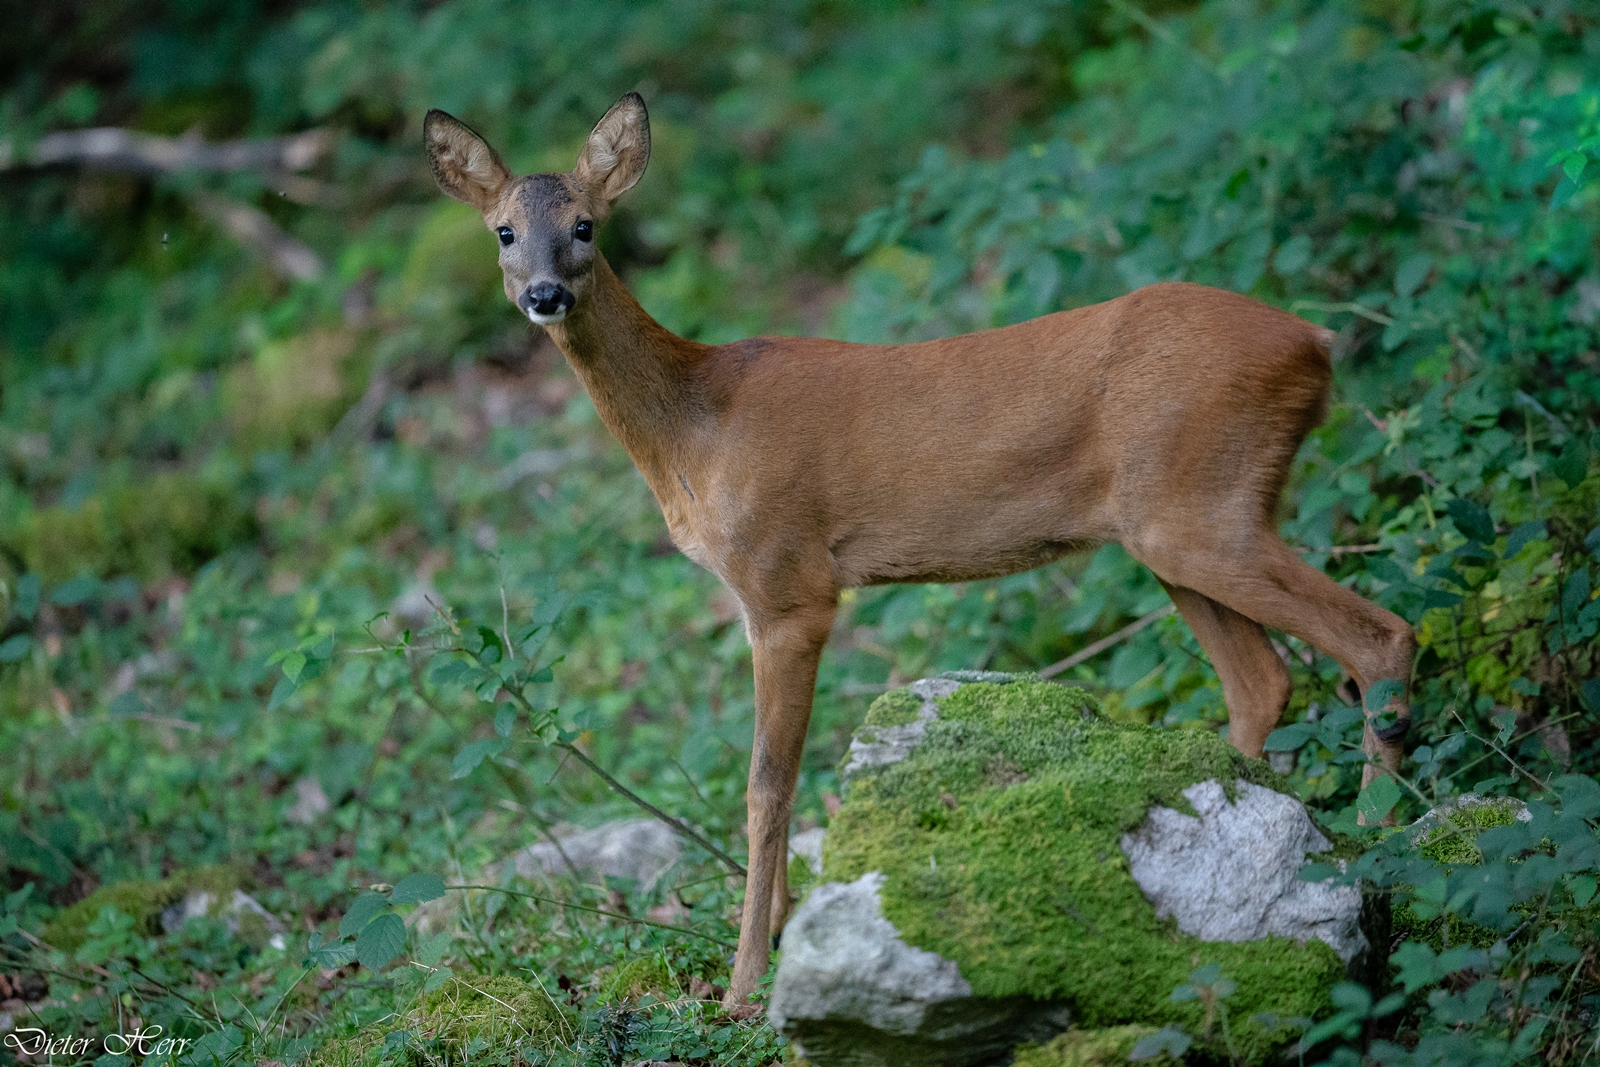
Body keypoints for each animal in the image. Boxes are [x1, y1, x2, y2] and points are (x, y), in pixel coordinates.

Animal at [422, 93, 1414, 1011]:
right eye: (504, 230)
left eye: (585, 225)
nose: (544, 295)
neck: (696, 432)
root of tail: (1315, 342)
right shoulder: (751, 601)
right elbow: (779, 780)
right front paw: (772, 938)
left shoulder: (791, 586)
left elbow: (766, 785)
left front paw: (745, 983)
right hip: (1172, 527)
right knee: (1263, 681)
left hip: (1203, 505)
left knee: (1381, 639)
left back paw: (1379, 849)